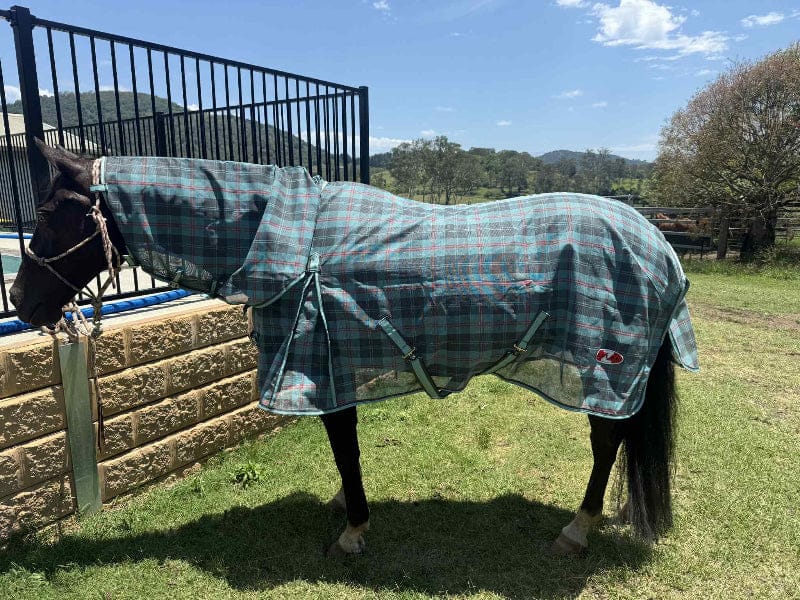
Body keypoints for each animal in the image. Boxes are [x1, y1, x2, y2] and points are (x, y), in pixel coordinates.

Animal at [10, 141, 697, 557]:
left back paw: (577, 528)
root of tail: (660, 245)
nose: (20, 301)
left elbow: (345, 449)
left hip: (604, 370)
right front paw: (347, 509)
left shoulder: (321, 365)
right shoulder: (335, 368)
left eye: (50, 213)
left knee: (607, 441)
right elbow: (347, 452)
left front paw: (353, 528)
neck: (294, 241)